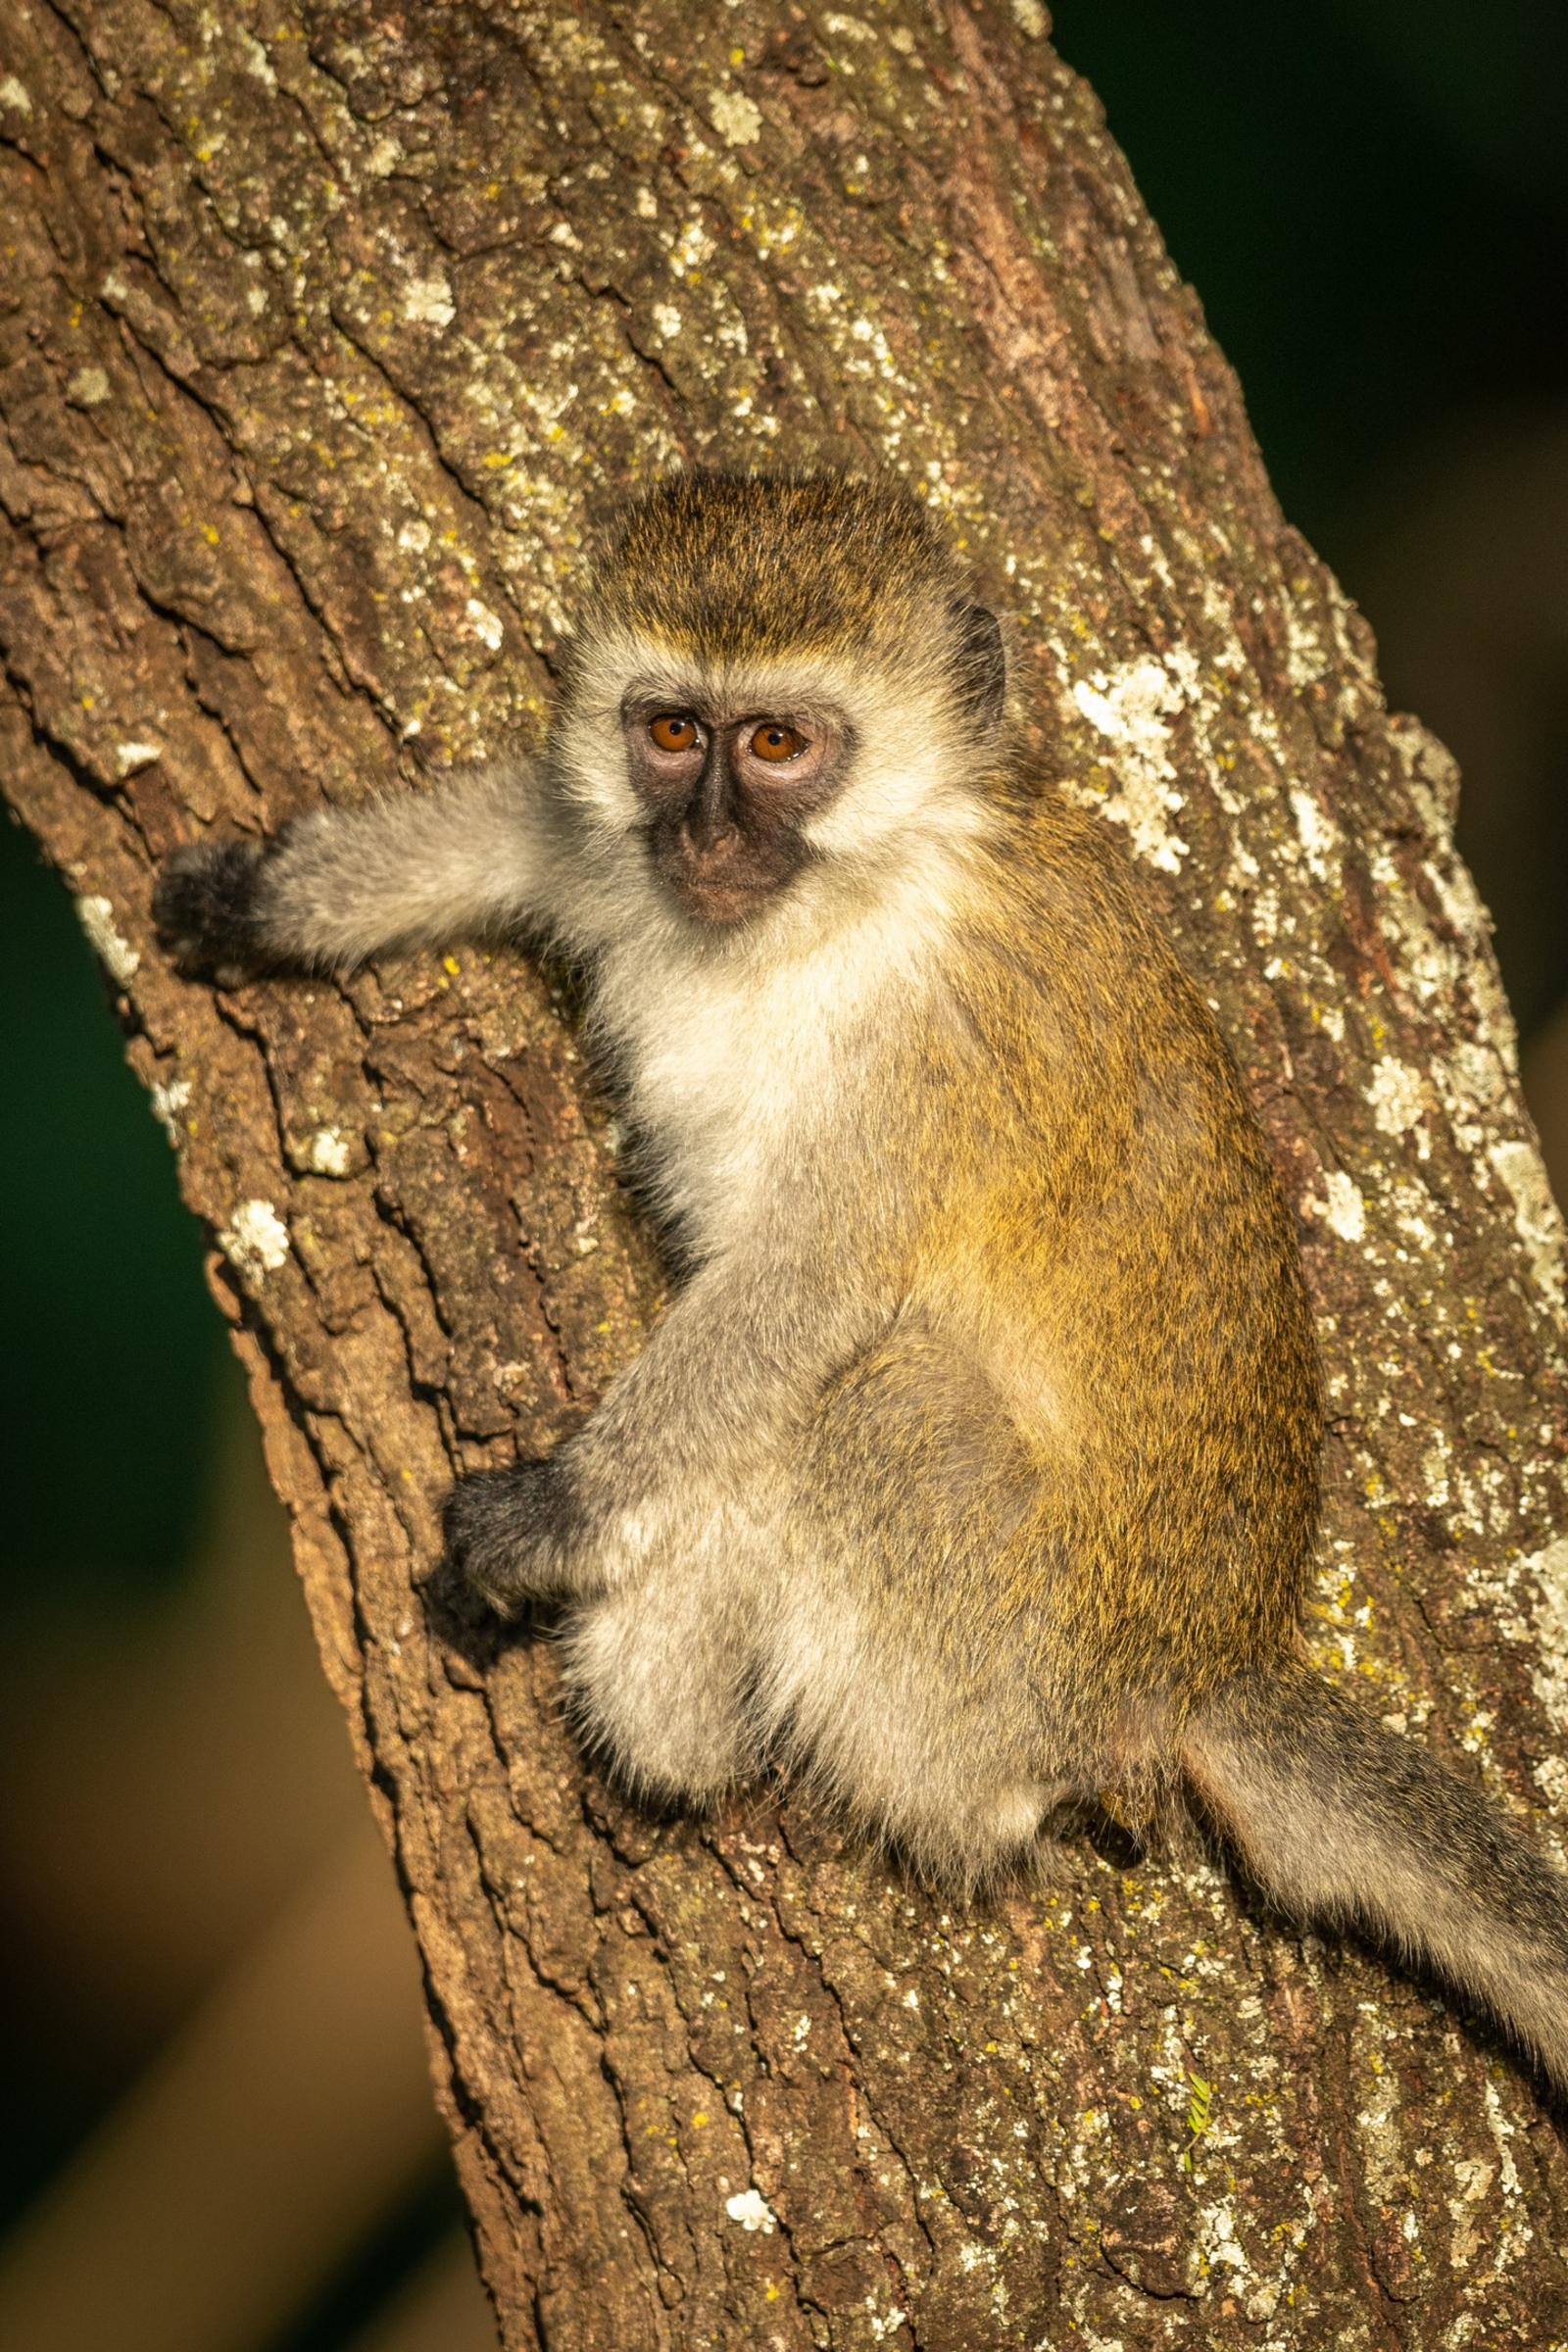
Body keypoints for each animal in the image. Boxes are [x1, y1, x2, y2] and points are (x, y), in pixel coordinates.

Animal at [155, 469, 1568, 2094]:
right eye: (671, 732)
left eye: (779, 745)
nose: (705, 833)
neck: (832, 906)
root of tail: (1194, 1672)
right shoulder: (611, 841)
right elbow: (523, 820)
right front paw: (269, 896)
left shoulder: (941, 1046)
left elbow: (807, 1285)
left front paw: (552, 1517)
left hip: (1010, 1640)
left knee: (877, 1406)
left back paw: (698, 1723)